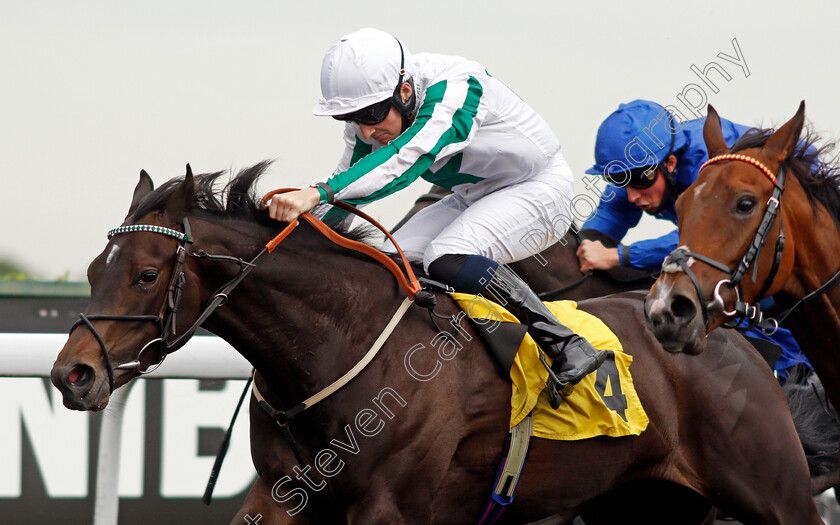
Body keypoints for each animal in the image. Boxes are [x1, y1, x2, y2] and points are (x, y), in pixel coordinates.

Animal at [50, 165, 820, 524]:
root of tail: (725, 330)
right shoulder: (279, 497)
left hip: (773, 488)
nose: (71, 374)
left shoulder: (390, 508)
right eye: (91, 270)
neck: (340, 347)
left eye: (147, 274)